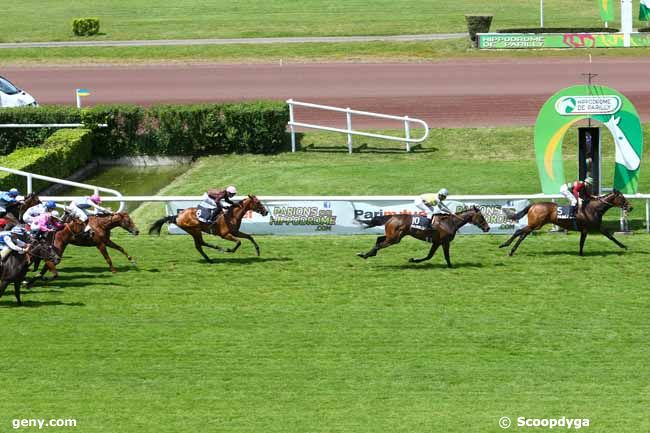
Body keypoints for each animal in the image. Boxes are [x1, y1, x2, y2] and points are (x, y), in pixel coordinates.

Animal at [356, 206, 488, 266]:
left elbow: (429, 256)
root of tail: (392, 217)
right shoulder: (445, 242)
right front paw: (451, 266)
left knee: (379, 240)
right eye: (481, 217)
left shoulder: (437, 242)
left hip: (392, 236)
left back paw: (367, 254)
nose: (487, 228)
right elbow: (446, 256)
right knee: (379, 244)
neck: (450, 222)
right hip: (394, 238)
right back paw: (365, 255)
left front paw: (413, 260)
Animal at [498, 190, 632, 256]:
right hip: (536, 225)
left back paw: (511, 250)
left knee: (522, 235)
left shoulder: (593, 228)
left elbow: (607, 237)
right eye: (622, 197)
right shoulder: (591, 228)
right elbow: (587, 241)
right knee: (518, 231)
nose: (630, 207)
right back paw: (504, 245)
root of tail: (533, 205)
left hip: (533, 225)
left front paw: (624, 246)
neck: (593, 208)